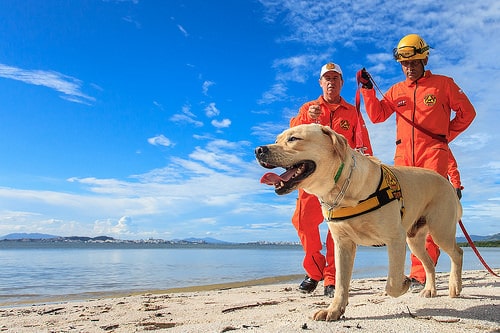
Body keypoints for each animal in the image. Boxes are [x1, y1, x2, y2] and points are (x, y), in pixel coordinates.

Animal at [256, 123, 462, 320]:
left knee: (457, 253)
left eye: (293, 139)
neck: (341, 189)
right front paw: (334, 310)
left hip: (440, 231)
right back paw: (430, 290)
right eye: (277, 140)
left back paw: (455, 286)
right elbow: (341, 283)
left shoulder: (395, 238)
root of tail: (447, 182)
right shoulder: (343, 244)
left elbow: (392, 283)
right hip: (414, 240)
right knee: (429, 263)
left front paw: (404, 282)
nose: (258, 149)